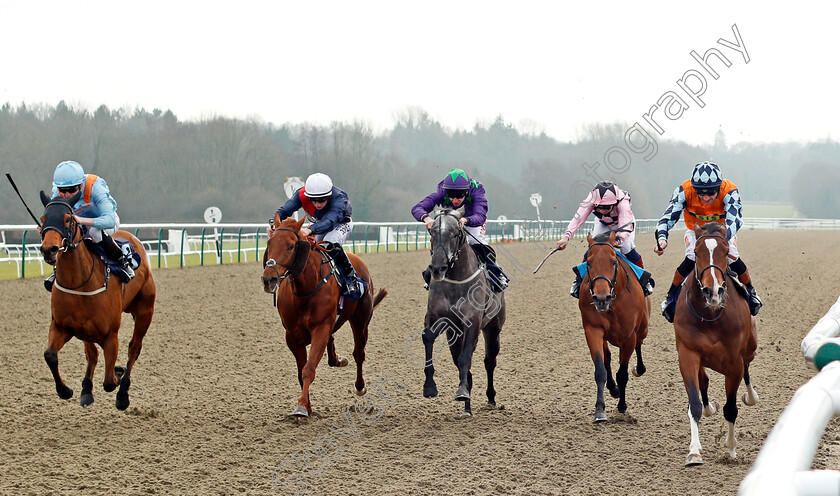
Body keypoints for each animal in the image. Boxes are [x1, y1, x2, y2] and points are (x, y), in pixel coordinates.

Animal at [37, 190, 157, 410]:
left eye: (68, 219)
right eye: (43, 219)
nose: (49, 249)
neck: (79, 282)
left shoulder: (110, 334)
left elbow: (109, 381)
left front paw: (118, 376)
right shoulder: (62, 326)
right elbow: (50, 355)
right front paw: (66, 390)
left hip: (145, 310)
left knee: (134, 348)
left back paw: (123, 393)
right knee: (92, 353)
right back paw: (87, 390)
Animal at [260, 215, 388, 416]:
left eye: (291, 246)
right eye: (269, 243)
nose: (268, 279)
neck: (305, 288)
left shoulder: (321, 327)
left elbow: (309, 368)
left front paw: (301, 407)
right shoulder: (292, 336)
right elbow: (301, 372)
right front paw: (307, 406)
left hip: (361, 321)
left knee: (359, 353)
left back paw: (360, 386)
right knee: (335, 344)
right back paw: (337, 360)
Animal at [420, 207, 506, 416]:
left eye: (455, 233)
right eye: (432, 232)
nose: (438, 268)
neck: (455, 283)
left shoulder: (472, 322)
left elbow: (466, 357)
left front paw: (462, 391)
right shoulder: (438, 318)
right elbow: (428, 337)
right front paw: (430, 387)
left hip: (493, 328)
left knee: (489, 361)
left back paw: (490, 398)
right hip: (454, 336)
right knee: (461, 362)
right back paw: (467, 406)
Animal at [580, 232, 652, 422]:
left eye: (613, 262)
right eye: (588, 262)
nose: (601, 298)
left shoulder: (628, 336)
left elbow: (623, 374)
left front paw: (622, 405)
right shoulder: (593, 330)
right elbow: (600, 369)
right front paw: (600, 410)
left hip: (643, 328)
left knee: (639, 344)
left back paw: (639, 369)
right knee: (608, 358)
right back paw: (613, 388)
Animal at [676, 223, 760, 466]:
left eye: (726, 252)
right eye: (696, 253)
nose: (712, 291)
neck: (711, 314)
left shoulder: (734, 362)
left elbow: (731, 408)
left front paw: (731, 449)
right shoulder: (687, 354)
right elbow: (694, 403)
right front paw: (694, 452)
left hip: (750, 348)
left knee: (748, 368)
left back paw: (751, 396)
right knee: (703, 381)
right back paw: (709, 407)